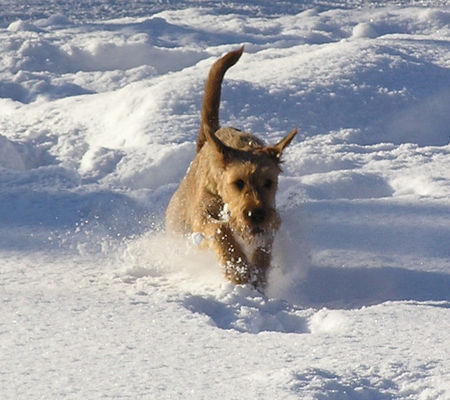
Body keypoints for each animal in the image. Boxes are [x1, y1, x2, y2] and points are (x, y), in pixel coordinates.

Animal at [165, 47, 298, 288]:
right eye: (238, 182)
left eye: (269, 182)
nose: (256, 214)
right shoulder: (202, 215)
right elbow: (221, 228)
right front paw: (237, 269)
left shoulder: (271, 221)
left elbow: (264, 244)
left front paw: (256, 276)